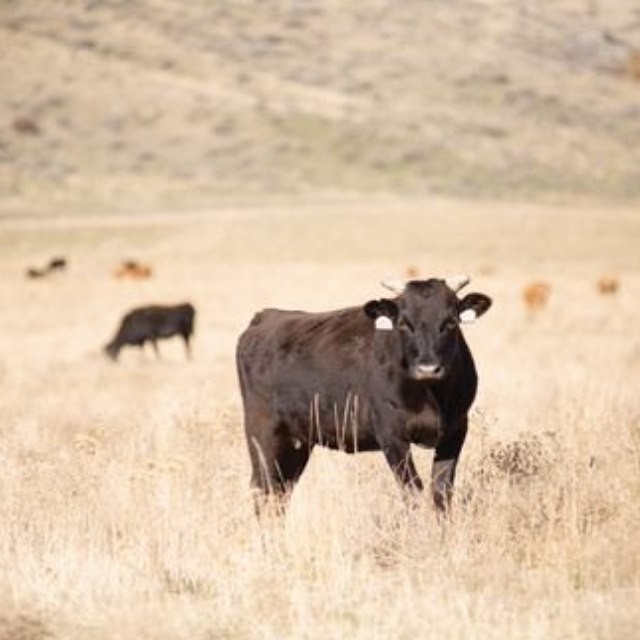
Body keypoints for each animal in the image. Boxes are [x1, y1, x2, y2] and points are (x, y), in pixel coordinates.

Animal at [236, 276, 492, 514]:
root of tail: (267, 316)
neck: (430, 394)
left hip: (298, 441)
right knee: (263, 487)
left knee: (282, 490)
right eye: (404, 323)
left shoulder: (456, 430)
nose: (428, 368)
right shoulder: (391, 434)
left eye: (450, 323)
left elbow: (441, 490)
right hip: (262, 433)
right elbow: (412, 489)